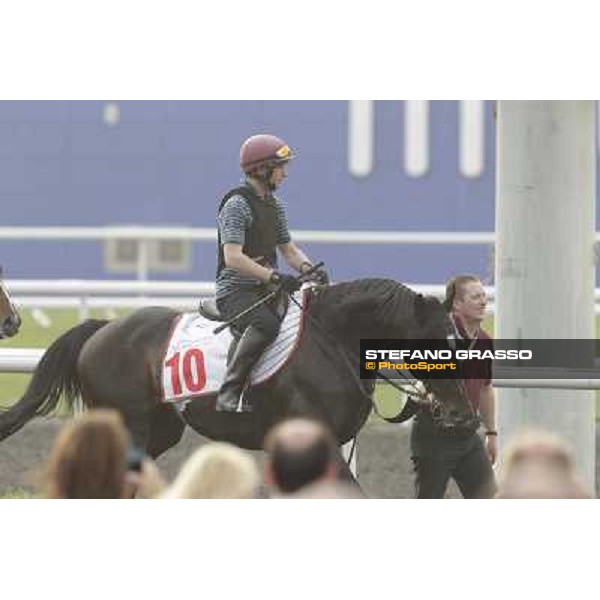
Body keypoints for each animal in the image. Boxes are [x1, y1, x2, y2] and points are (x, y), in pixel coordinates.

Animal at [0, 280, 474, 460]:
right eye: (433, 344)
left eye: (459, 340)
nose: (463, 416)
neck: (332, 339)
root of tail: (102, 329)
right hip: (127, 425)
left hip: (161, 430)